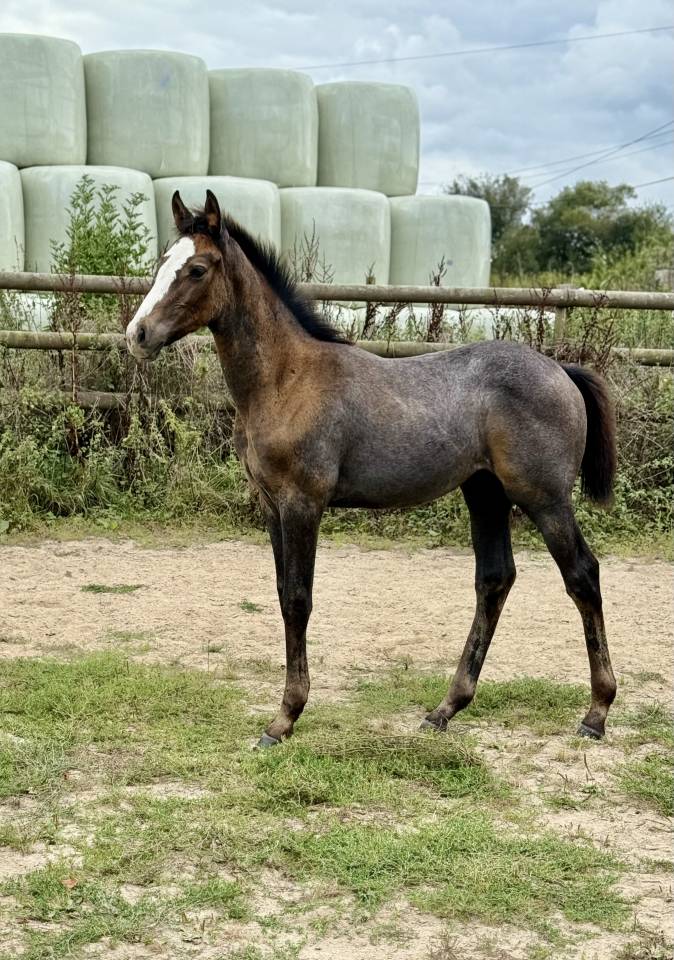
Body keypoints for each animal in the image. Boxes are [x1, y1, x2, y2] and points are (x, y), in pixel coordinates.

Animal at [126, 190, 618, 749]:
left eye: (198, 269)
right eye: (163, 261)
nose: (137, 335)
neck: (286, 379)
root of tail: (561, 370)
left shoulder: (303, 503)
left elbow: (298, 599)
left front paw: (284, 718)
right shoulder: (271, 505)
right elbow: (281, 592)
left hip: (544, 498)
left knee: (582, 575)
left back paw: (596, 713)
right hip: (485, 492)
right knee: (495, 579)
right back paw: (445, 709)